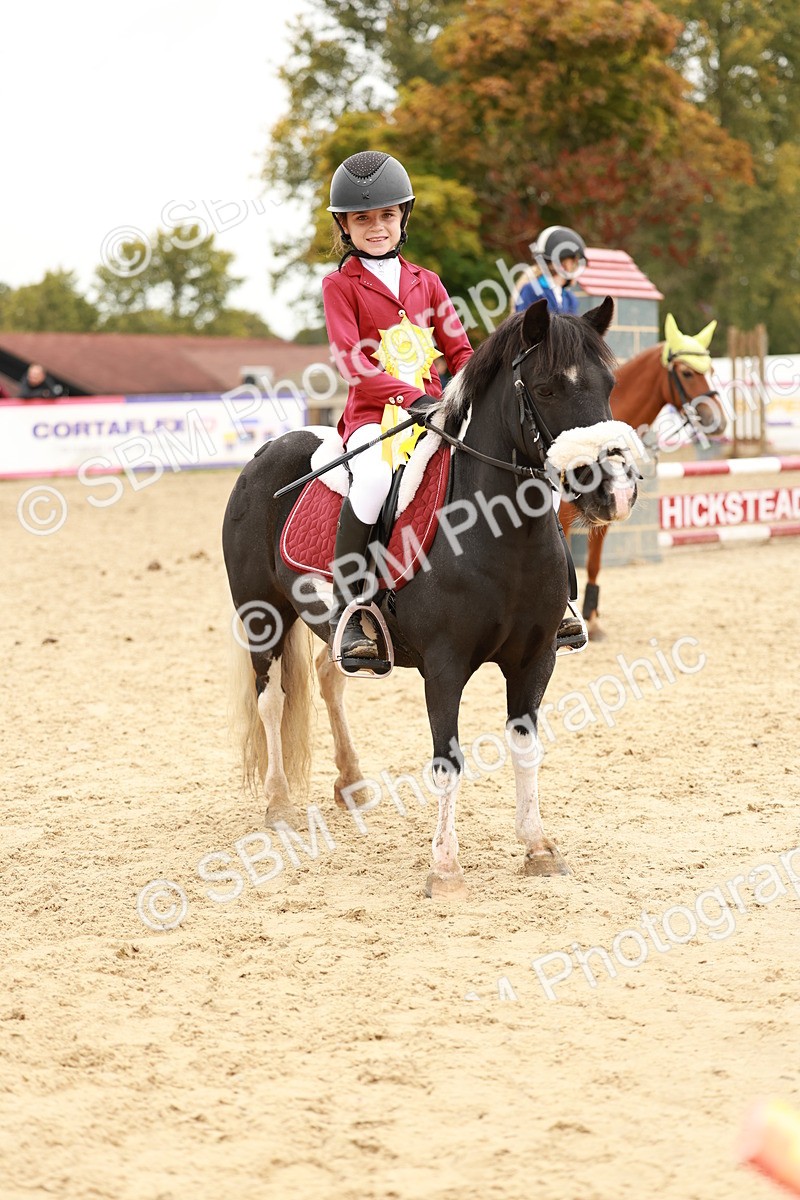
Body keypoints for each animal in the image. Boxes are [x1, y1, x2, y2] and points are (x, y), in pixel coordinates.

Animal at [222, 296, 639, 899]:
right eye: (546, 389)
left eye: (609, 384)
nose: (616, 490)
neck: (501, 535)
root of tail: (269, 449)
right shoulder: (444, 667)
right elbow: (448, 759)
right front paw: (444, 869)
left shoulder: (537, 659)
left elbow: (526, 747)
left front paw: (538, 848)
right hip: (262, 616)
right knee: (271, 700)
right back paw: (278, 805)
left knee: (330, 678)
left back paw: (352, 784)